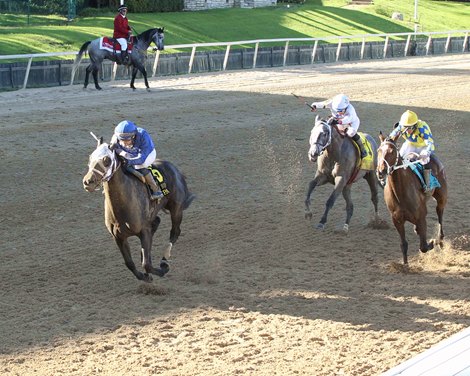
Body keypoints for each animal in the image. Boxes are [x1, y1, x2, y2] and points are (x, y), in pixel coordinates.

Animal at [82, 136, 195, 282]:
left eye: (107, 160)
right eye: (90, 157)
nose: (88, 181)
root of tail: (174, 169)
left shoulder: (144, 230)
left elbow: (146, 264)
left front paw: (159, 271)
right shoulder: (118, 237)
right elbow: (129, 263)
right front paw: (144, 276)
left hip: (176, 208)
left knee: (175, 232)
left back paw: (164, 261)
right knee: (156, 222)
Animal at [374, 133, 448, 264]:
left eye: (392, 151)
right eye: (379, 150)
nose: (381, 171)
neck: (400, 192)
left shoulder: (421, 217)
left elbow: (423, 246)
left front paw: (431, 243)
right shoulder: (397, 219)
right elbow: (403, 244)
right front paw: (405, 264)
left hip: (442, 197)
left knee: (440, 213)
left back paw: (440, 239)